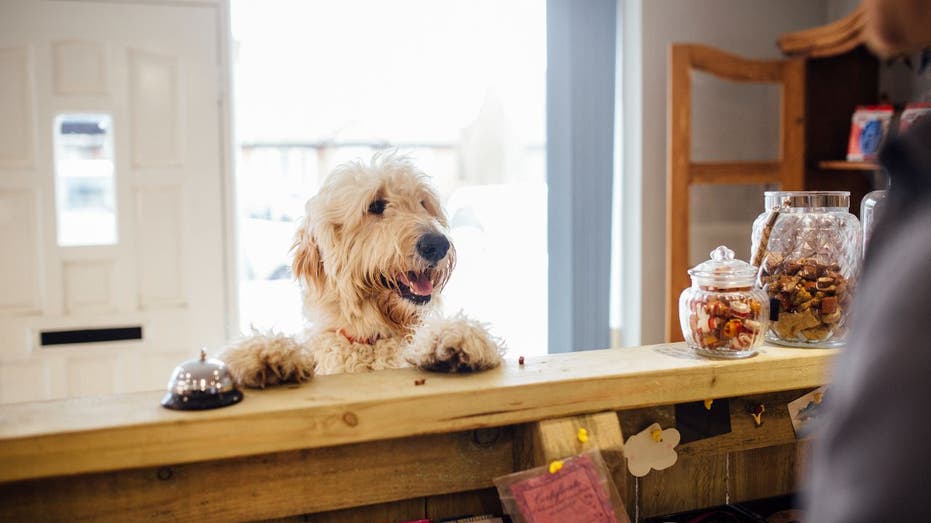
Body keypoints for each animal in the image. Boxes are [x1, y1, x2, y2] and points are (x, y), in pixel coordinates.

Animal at [223, 154, 506, 386]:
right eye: (376, 206)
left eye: (423, 203)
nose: (437, 244)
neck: (371, 340)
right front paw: (267, 352)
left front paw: (454, 336)